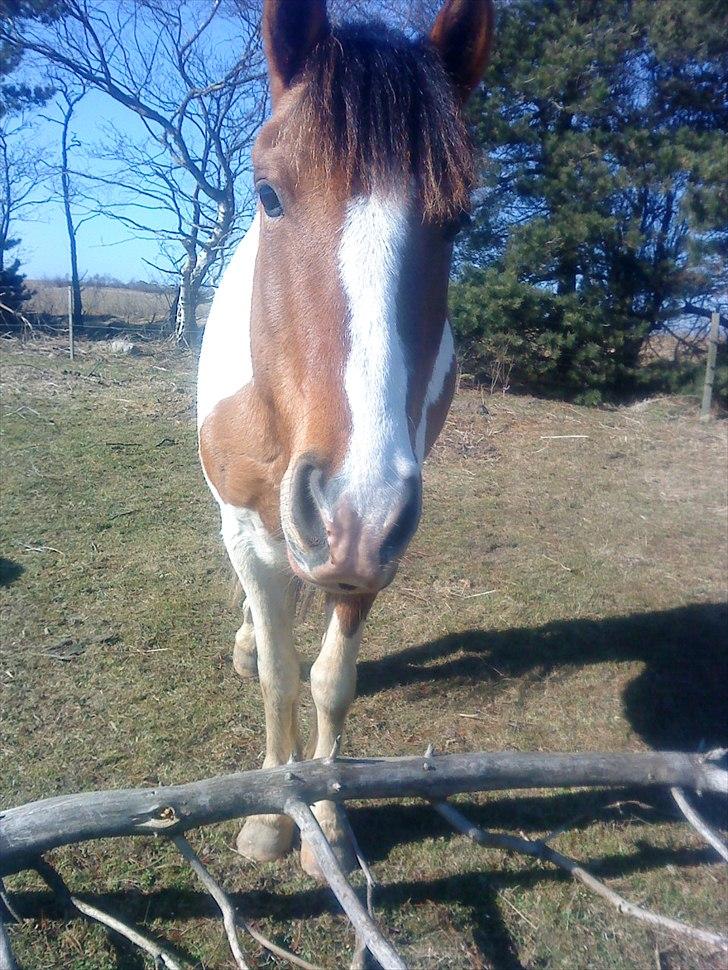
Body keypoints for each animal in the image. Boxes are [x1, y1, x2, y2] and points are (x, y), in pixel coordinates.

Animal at [199, 0, 494, 876]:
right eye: (268, 194)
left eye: (460, 221)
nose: (348, 508)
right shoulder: (253, 527)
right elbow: (279, 680)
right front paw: (272, 814)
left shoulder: (373, 550)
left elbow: (329, 682)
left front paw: (325, 817)